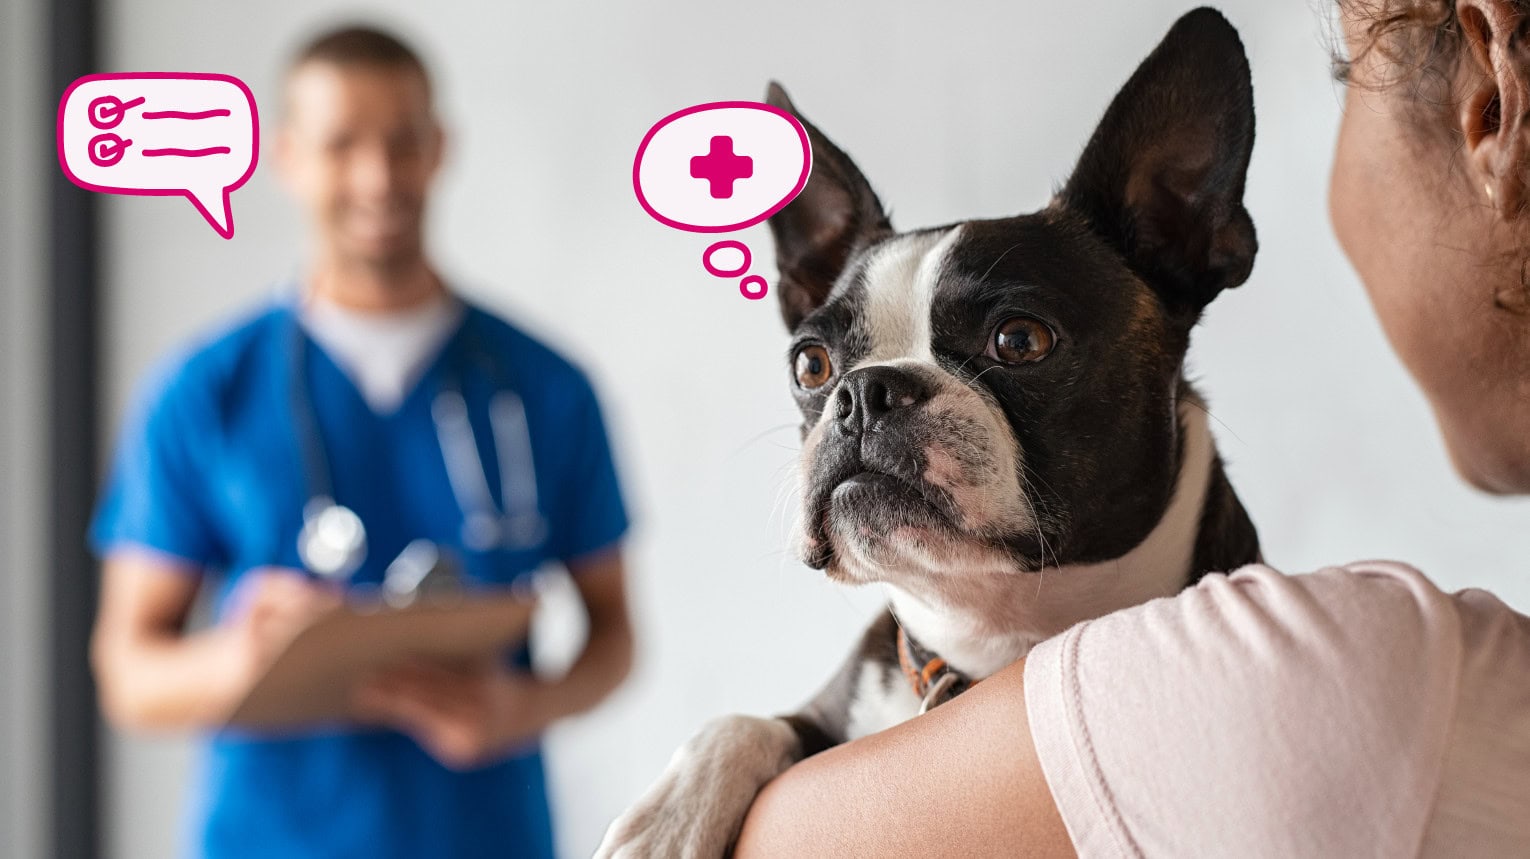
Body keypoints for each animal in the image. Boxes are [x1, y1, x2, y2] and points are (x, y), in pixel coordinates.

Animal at [596, 10, 1254, 851]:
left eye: (1021, 340)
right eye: (811, 363)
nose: (863, 393)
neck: (985, 636)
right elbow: (744, 720)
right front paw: (668, 821)